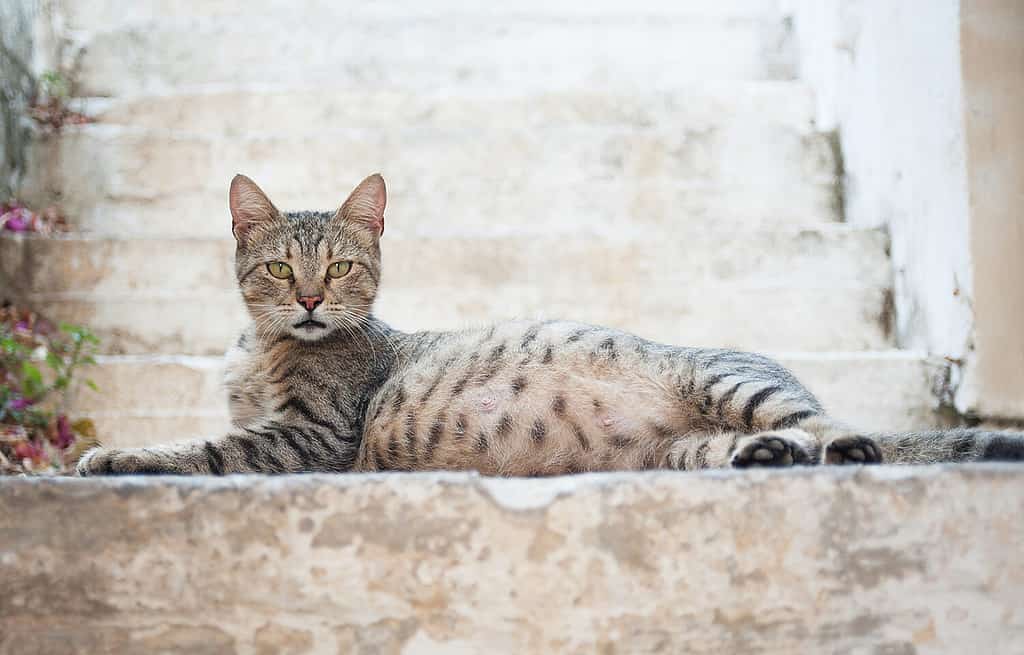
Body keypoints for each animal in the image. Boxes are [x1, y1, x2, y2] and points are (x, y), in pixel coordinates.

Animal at [77, 173, 1024, 478]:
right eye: (280, 269)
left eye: (339, 268)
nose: (309, 299)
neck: (263, 349)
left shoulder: (311, 437)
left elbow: (201, 447)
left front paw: (112, 455)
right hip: (689, 450)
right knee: (765, 447)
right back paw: (770, 458)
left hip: (734, 380)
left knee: (841, 429)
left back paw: (845, 448)